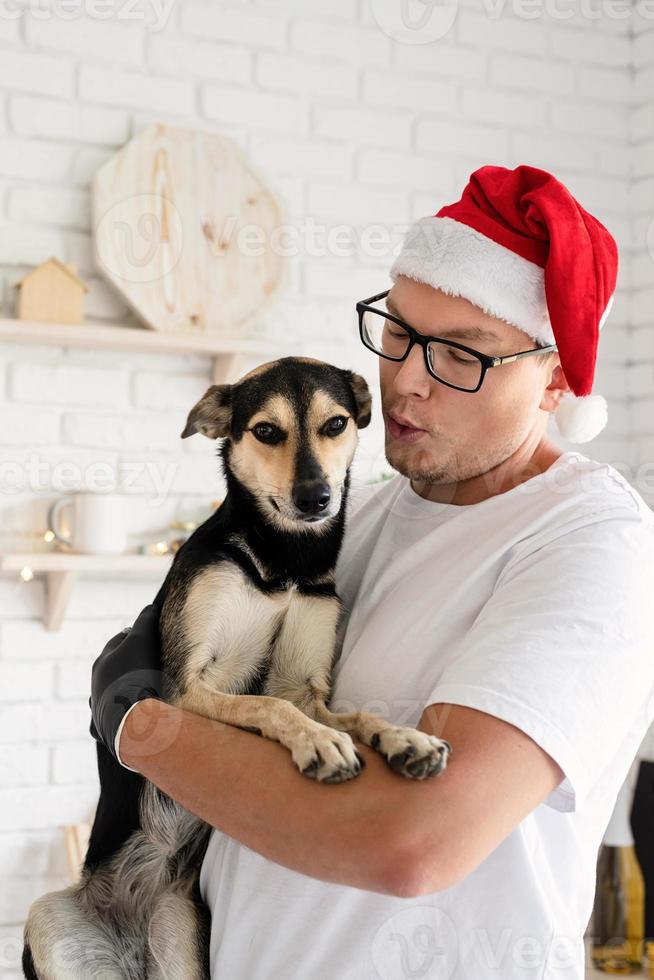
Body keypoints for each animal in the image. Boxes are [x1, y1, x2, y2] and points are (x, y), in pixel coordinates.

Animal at [20, 360, 452, 980]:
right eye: (266, 431)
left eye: (336, 423)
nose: (316, 497)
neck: (285, 563)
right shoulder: (187, 690)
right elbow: (265, 703)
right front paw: (320, 745)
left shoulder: (307, 691)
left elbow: (355, 715)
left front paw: (402, 738)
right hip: (51, 924)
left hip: (177, 932)